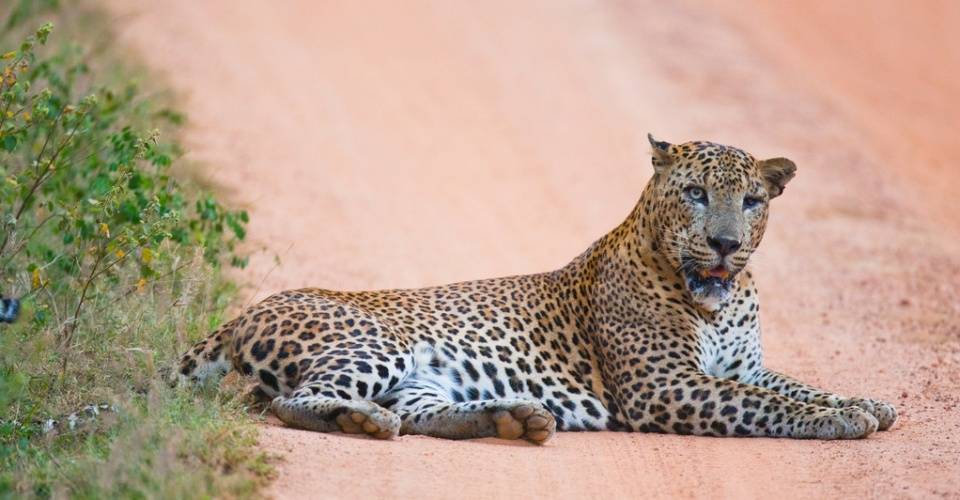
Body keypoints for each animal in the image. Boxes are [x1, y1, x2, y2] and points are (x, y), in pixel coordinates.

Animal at [174, 135, 900, 444]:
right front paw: (839, 420)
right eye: (696, 193)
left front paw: (863, 401)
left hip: (422, 375)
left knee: (420, 412)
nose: (725, 244)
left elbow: (793, 384)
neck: (716, 297)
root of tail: (247, 310)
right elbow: (762, 403)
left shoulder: (742, 365)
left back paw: (511, 418)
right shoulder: (663, 386)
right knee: (289, 402)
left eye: (752, 201)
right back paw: (369, 422)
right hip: (375, 344)